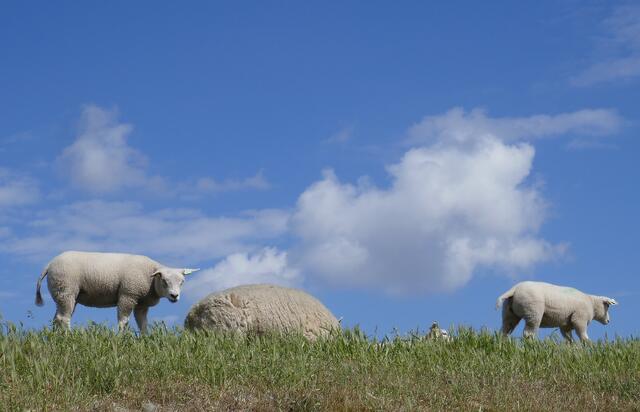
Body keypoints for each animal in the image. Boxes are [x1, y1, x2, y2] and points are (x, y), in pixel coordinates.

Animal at [35, 251, 199, 333]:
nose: (174, 296)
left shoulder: (141, 304)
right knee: (63, 318)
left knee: (57, 318)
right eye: (164, 281)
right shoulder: (128, 295)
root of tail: (49, 264)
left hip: (62, 294)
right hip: (66, 289)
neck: (150, 276)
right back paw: (69, 336)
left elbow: (143, 324)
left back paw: (57, 338)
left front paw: (145, 339)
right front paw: (120, 338)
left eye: (182, 282)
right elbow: (123, 321)